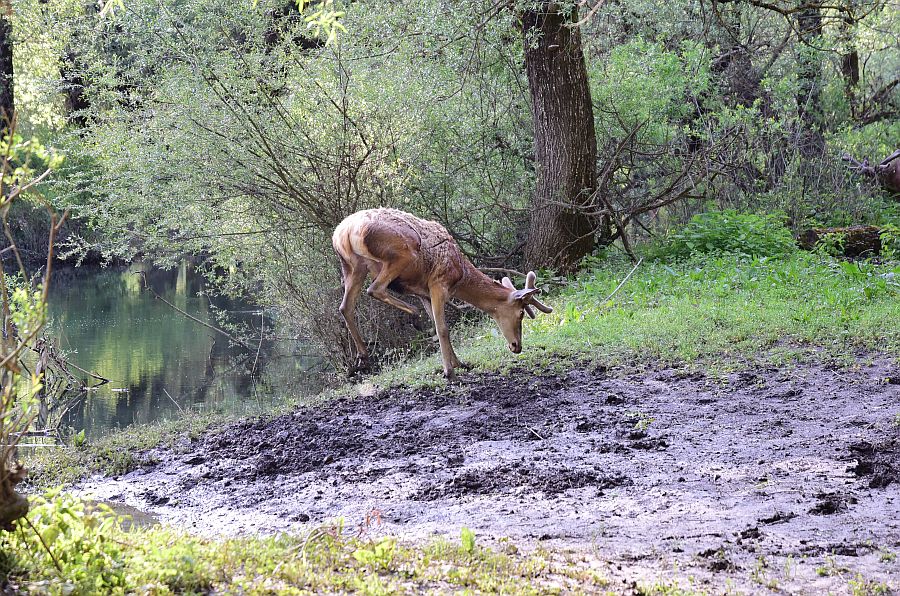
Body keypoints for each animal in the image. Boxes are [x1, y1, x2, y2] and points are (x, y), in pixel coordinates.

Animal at [332, 208, 552, 378]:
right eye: (521, 313)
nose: (517, 346)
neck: (460, 274)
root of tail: (344, 232)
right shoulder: (438, 283)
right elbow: (443, 328)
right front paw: (449, 371)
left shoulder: (424, 292)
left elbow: (440, 326)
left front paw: (459, 363)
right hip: (402, 252)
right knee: (374, 289)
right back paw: (412, 314)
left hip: (353, 266)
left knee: (345, 306)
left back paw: (363, 355)